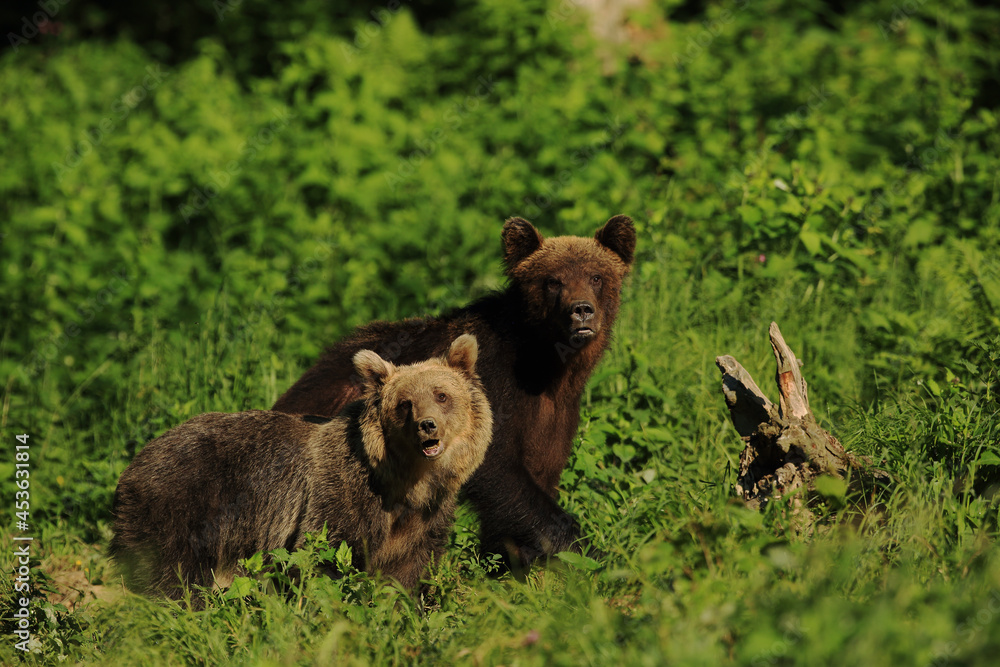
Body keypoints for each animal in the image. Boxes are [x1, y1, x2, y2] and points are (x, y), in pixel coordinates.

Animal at [110, 334, 491, 598]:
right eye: (404, 403)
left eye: (441, 395)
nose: (427, 425)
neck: (406, 483)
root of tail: (134, 464)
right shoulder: (341, 495)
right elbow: (322, 555)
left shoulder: (426, 516)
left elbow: (409, 569)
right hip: (184, 506)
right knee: (172, 573)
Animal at [272, 215, 636, 570]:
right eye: (553, 281)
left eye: (596, 276)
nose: (581, 309)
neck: (545, 365)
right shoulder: (496, 386)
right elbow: (499, 470)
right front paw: (590, 554)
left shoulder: (554, 415)